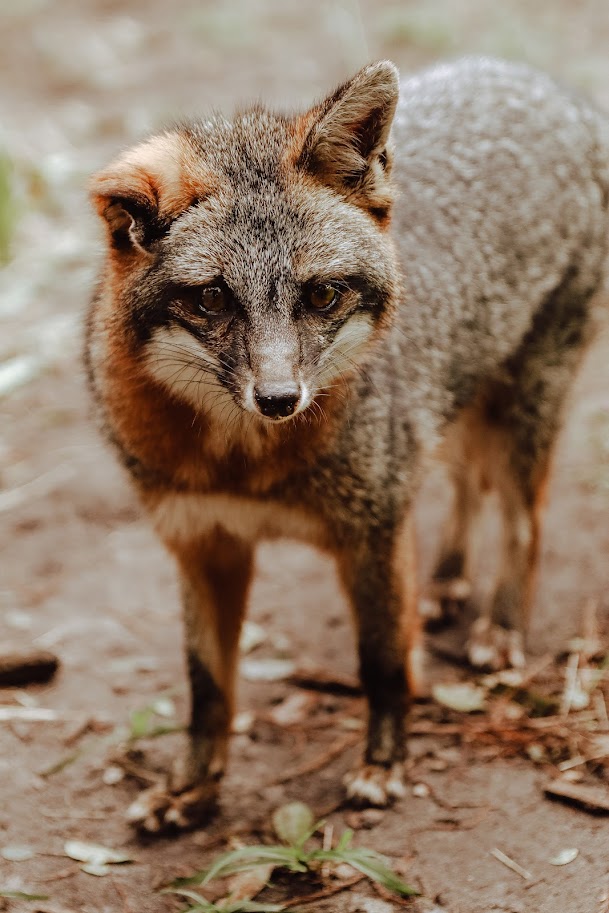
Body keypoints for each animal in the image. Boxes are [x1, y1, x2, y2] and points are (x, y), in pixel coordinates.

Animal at [86, 56, 609, 832]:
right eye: (211, 300)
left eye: (322, 295)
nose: (279, 400)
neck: (246, 465)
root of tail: (524, 76)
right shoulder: (204, 543)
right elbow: (208, 686)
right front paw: (192, 788)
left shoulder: (372, 530)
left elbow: (382, 660)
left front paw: (382, 765)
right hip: (452, 403)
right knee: (466, 482)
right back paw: (447, 579)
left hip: (524, 408)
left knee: (523, 522)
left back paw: (501, 625)